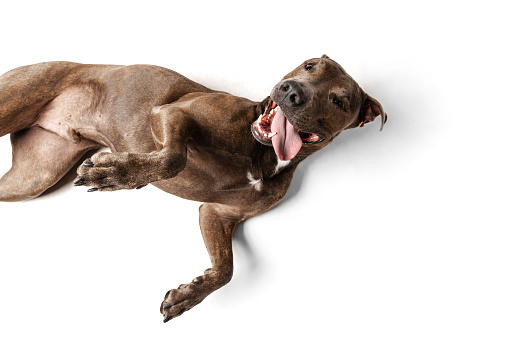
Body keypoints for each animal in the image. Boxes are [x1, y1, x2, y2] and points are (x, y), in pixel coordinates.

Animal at [0, 55, 384, 322]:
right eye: (309, 66)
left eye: (338, 101)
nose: (293, 91)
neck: (261, 152)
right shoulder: (171, 113)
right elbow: (174, 157)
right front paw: (119, 173)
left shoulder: (217, 215)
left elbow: (226, 269)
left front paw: (189, 294)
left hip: (31, 179)